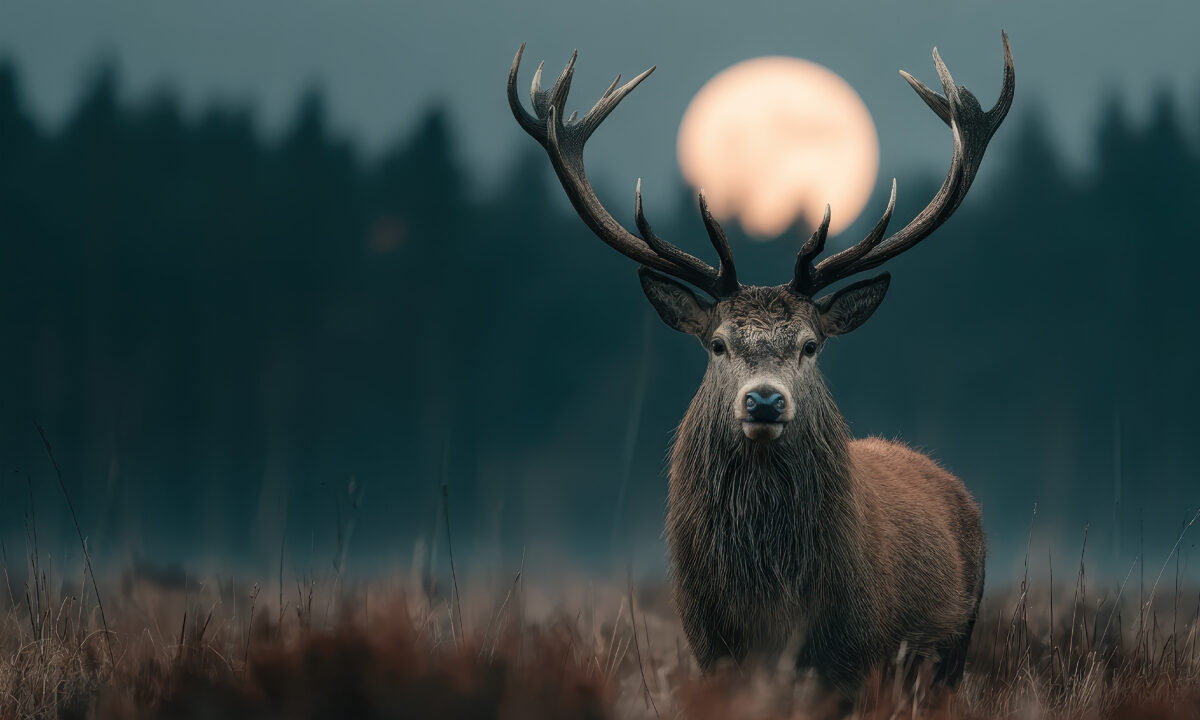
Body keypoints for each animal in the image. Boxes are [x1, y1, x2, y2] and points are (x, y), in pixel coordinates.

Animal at [506, 33, 1014, 695]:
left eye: (810, 344)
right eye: (718, 343)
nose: (765, 400)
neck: (771, 605)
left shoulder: (852, 654)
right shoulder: (710, 644)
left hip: (953, 650)